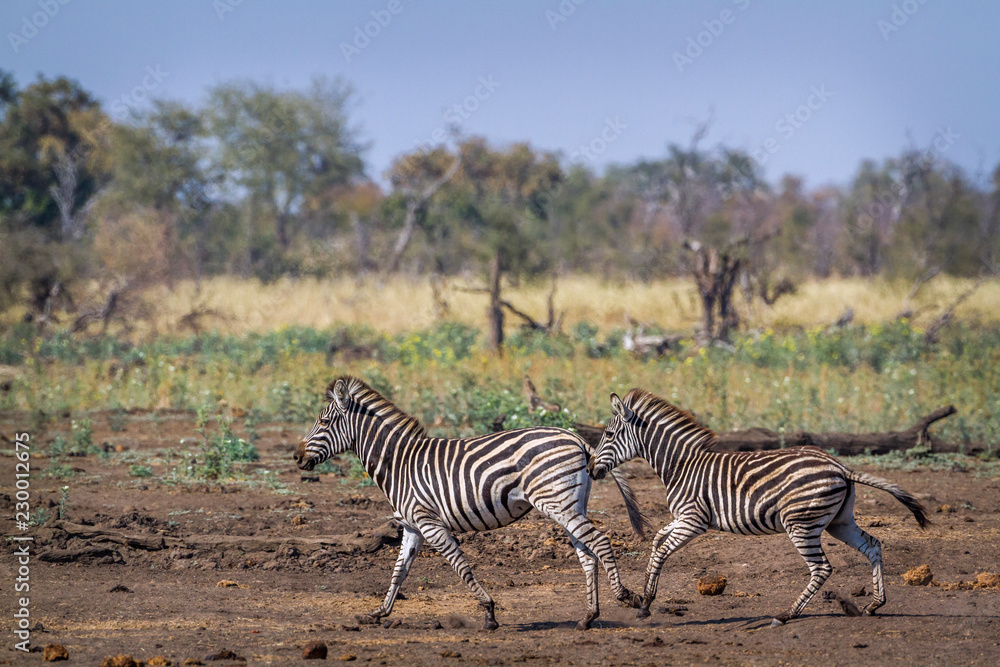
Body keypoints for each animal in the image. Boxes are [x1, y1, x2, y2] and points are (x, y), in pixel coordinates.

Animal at [294, 376, 648, 630]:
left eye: (323, 423)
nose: (296, 457)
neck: (399, 463)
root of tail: (578, 439)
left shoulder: (429, 523)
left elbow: (460, 566)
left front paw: (489, 613)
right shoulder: (411, 527)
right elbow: (399, 572)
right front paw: (379, 612)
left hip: (558, 503)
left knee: (600, 542)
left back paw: (628, 597)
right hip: (570, 504)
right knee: (586, 555)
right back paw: (588, 616)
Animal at [589, 388, 931, 627]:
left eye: (608, 434)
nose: (590, 470)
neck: (681, 465)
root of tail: (840, 466)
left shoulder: (693, 520)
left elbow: (660, 549)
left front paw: (645, 603)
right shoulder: (682, 517)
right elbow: (658, 540)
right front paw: (645, 600)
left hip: (801, 524)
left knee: (822, 568)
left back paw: (786, 614)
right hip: (839, 522)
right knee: (872, 545)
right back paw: (874, 604)